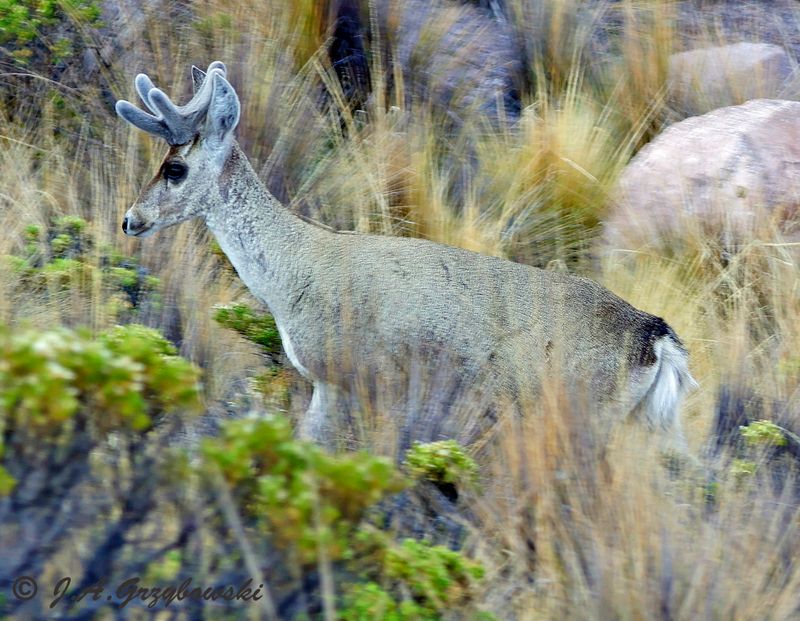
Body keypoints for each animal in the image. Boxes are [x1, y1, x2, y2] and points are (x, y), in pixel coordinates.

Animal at [116, 61, 697, 450]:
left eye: (175, 169)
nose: (130, 219)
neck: (294, 272)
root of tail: (654, 335)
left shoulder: (343, 375)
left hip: (583, 414)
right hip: (639, 424)